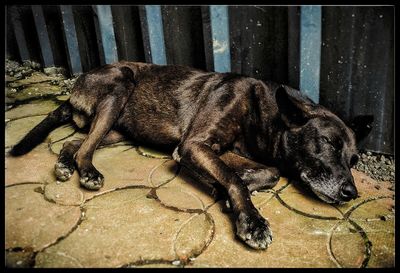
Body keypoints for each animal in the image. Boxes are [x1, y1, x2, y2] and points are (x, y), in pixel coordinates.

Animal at [8, 61, 372, 249]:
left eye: (354, 159)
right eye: (327, 142)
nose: (350, 192)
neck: (263, 110)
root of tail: (74, 89)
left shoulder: (218, 150)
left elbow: (263, 172)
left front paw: (222, 190)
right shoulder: (194, 145)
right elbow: (235, 179)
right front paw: (250, 219)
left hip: (119, 129)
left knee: (75, 143)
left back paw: (65, 162)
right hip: (121, 84)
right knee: (85, 147)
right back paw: (86, 171)